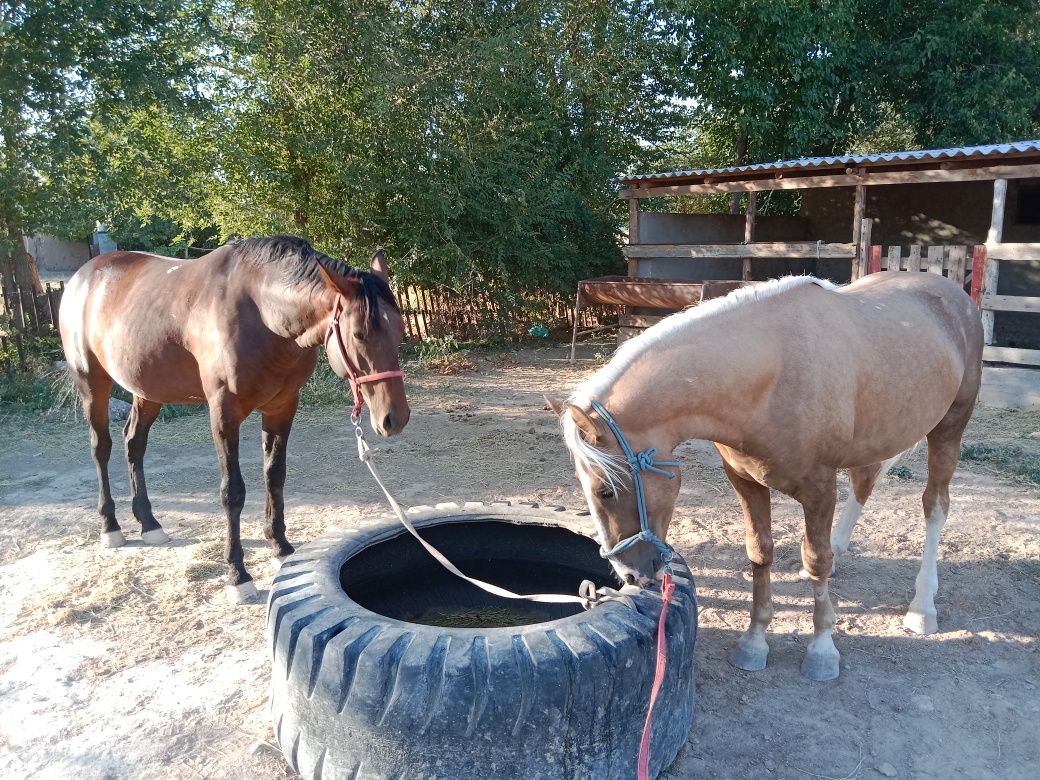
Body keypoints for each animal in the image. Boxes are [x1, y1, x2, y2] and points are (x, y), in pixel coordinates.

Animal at [59, 237, 409, 603]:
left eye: (399, 329)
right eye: (359, 334)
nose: (394, 418)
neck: (261, 314)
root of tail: (84, 276)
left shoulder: (282, 407)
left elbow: (275, 475)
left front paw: (280, 545)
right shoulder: (224, 413)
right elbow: (233, 492)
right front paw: (237, 575)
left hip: (148, 390)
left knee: (134, 444)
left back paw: (149, 523)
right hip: (92, 385)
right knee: (101, 448)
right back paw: (110, 526)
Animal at [553, 272, 981, 678]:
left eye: (606, 491)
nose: (629, 574)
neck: (770, 378)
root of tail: (952, 292)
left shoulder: (819, 488)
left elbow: (816, 559)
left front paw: (822, 649)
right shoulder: (745, 482)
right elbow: (759, 553)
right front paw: (754, 642)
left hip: (949, 427)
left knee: (934, 507)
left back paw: (922, 607)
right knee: (866, 480)